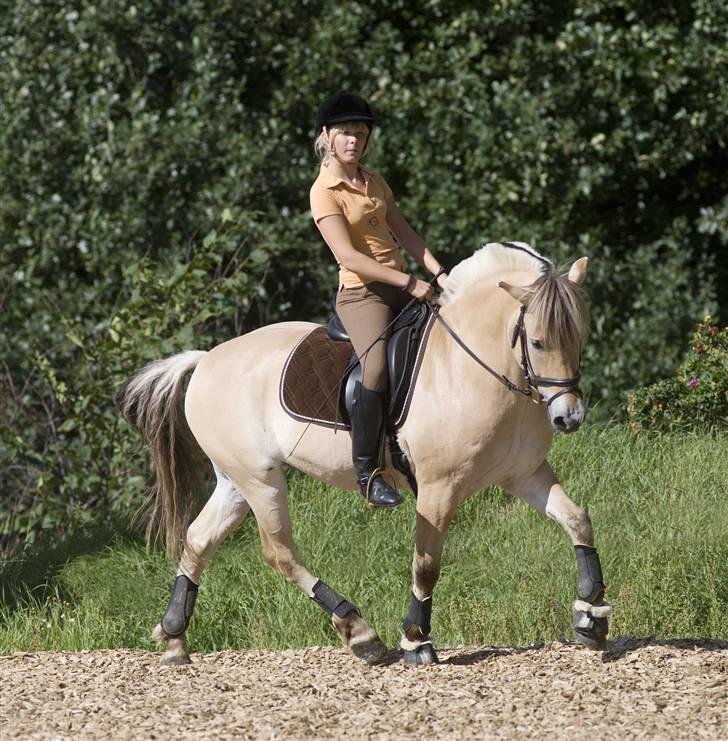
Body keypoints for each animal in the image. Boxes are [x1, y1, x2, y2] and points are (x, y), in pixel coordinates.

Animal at [122, 241, 612, 664]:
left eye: (579, 336)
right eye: (538, 342)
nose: (569, 416)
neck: (473, 366)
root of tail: (205, 360)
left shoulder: (524, 474)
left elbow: (578, 520)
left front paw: (591, 617)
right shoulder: (438, 488)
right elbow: (426, 564)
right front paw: (416, 640)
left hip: (235, 481)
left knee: (198, 540)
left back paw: (174, 638)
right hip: (260, 480)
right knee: (279, 552)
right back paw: (359, 631)